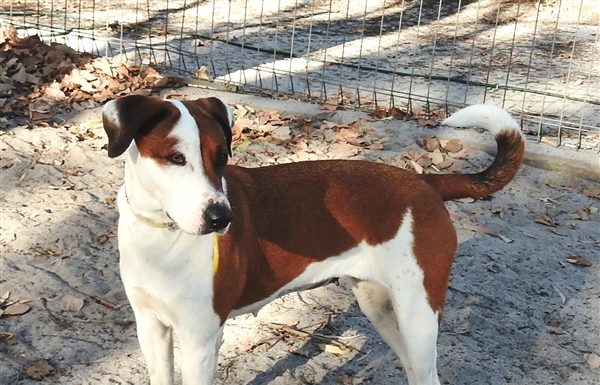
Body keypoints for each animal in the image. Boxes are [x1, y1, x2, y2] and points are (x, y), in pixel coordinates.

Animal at [103, 95, 524, 384]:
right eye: (175, 158)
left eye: (221, 157)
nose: (221, 217)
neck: (163, 236)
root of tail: (426, 182)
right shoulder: (151, 327)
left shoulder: (200, 339)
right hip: (379, 306)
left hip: (417, 314)